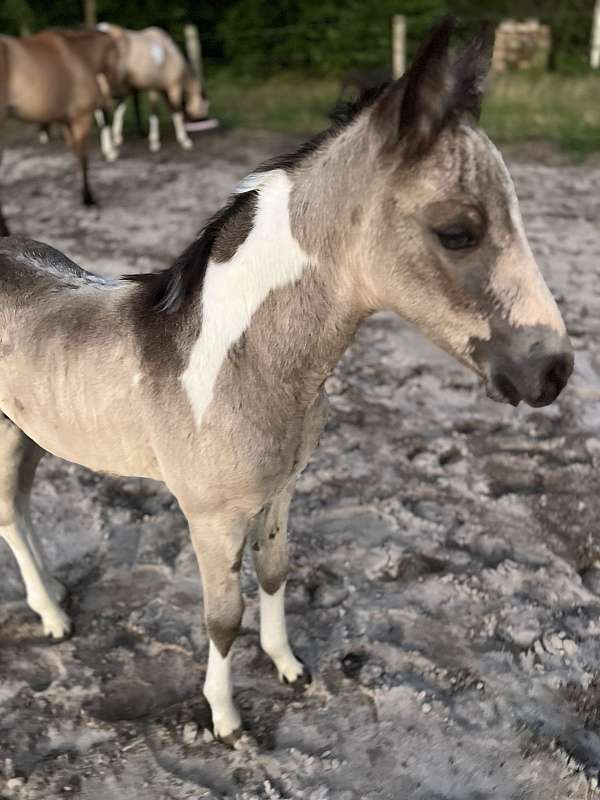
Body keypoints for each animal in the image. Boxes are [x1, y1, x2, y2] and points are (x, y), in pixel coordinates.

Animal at [0, 28, 123, 234]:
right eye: (121, 56)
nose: (116, 95)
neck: (81, 55)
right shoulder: (81, 119)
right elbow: (84, 159)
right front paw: (88, 199)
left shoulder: (67, 122)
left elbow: (76, 157)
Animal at [99, 23, 210, 152]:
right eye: (205, 107)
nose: (205, 120)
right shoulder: (173, 86)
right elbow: (174, 110)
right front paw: (183, 140)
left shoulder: (156, 89)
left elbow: (152, 111)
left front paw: (151, 139)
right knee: (103, 111)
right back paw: (109, 149)